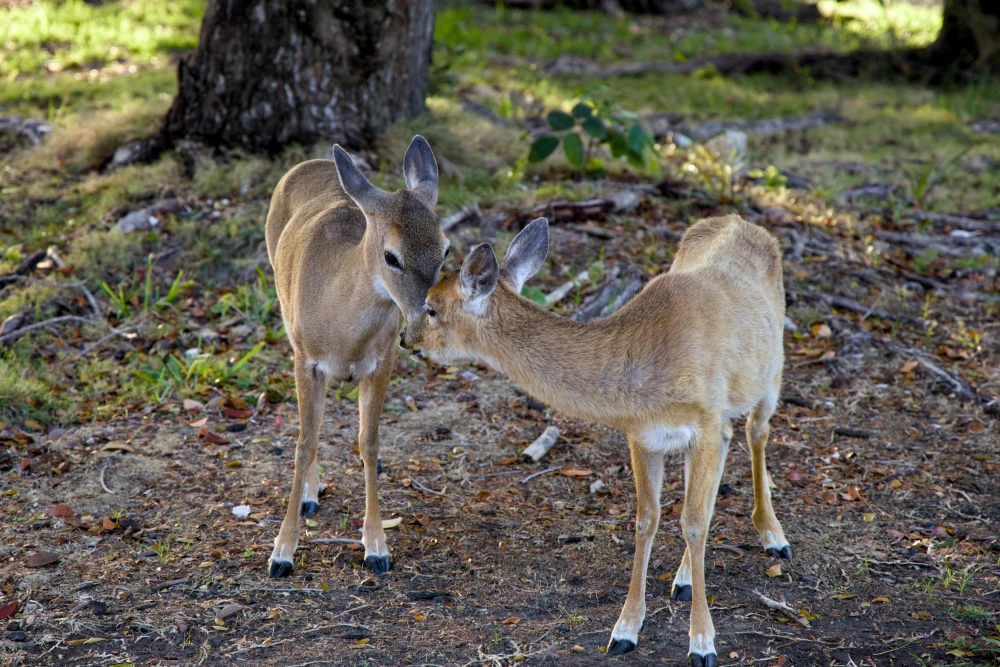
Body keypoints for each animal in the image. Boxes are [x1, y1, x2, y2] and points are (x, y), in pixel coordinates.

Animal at [264, 136, 449, 579]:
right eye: (391, 256)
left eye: (446, 250)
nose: (427, 314)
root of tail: (312, 162)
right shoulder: (306, 359)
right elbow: (303, 443)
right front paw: (282, 551)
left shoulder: (382, 363)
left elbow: (369, 443)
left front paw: (377, 546)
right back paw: (309, 496)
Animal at [400, 215, 791, 666]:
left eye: (431, 307)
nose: (405, 339)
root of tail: (740, 220)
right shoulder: (643, 434)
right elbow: (648, 519)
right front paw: (625, 629)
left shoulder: (707, 421)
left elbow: (692, 522)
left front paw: (702, 643)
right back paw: (684, 578)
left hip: (771, 370)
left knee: (756, 433)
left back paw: (774, 537)